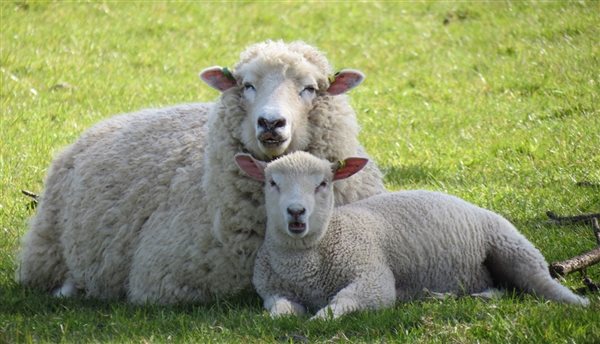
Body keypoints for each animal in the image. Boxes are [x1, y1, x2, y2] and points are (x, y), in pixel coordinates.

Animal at [236, 152, 592, 318]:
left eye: (322, 184)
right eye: (272, 183)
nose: (296, 212)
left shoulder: (372, 278)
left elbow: (341, 304)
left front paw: (320, 319)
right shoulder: (272, 292)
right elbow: (279, 312)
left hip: (515, 249)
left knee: (542, 285)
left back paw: (582, 303)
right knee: (503, 290)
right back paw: (450, 297)